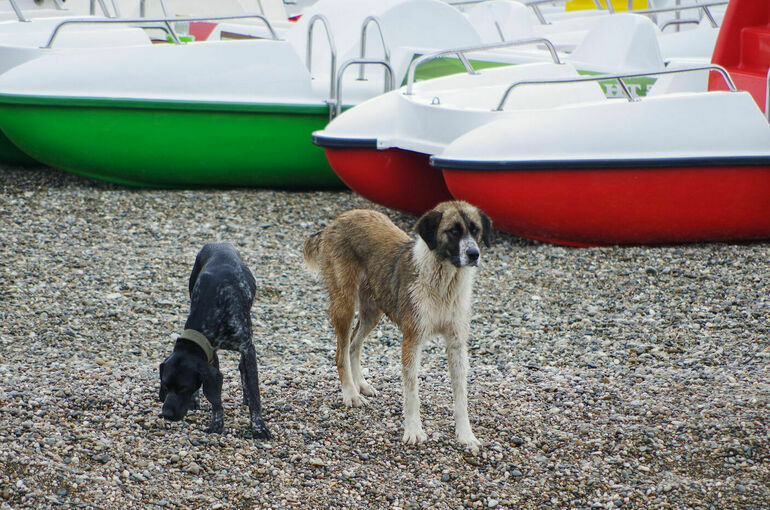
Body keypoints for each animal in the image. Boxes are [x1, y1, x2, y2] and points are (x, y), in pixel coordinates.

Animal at [156, 243, 270, 438]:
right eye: (165, 385)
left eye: (183, 388)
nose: (166, 414)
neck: (213, 305)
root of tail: (218, 243)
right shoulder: (211, 351)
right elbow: (216, 398)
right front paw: (217, 424)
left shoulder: (247, 347)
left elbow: (255, 394)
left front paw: (259, 427)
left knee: (244, 370)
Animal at [302, 200, 488, 450]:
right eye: (453, 231)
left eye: (475, 230)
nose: (473, 254)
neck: (443, 283)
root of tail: (336, 221)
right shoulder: (412, 340)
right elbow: (412, 393)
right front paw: (414, 431)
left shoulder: (456, 343)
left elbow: (461, 395)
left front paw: (465, 435)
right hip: (345, 305)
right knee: (341, 352)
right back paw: (351, 394)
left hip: (373, 311)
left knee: (353, 345)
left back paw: (361, 384)